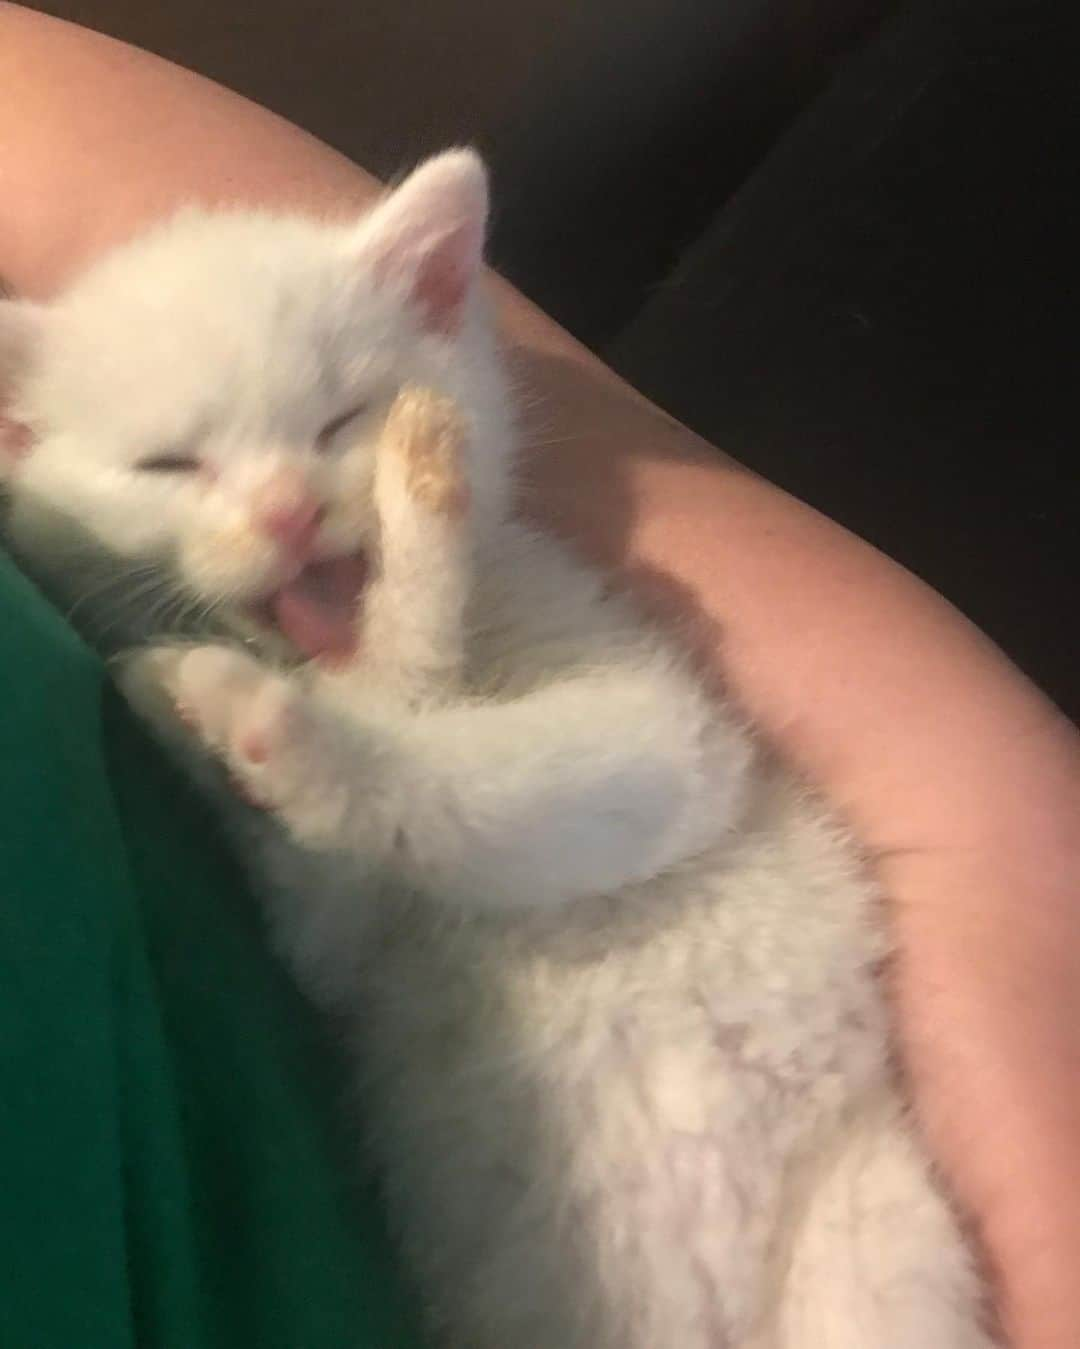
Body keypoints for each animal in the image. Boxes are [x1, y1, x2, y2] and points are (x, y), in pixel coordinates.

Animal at [0, 150, 992, 1349]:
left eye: (341, 418)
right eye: (169, 464)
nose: (288, 514)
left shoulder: (672, 737)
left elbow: (467, 761)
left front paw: (403, 556)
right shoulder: (331, 936)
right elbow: (327, 878)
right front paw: (214, 712)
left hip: (873, 1236)